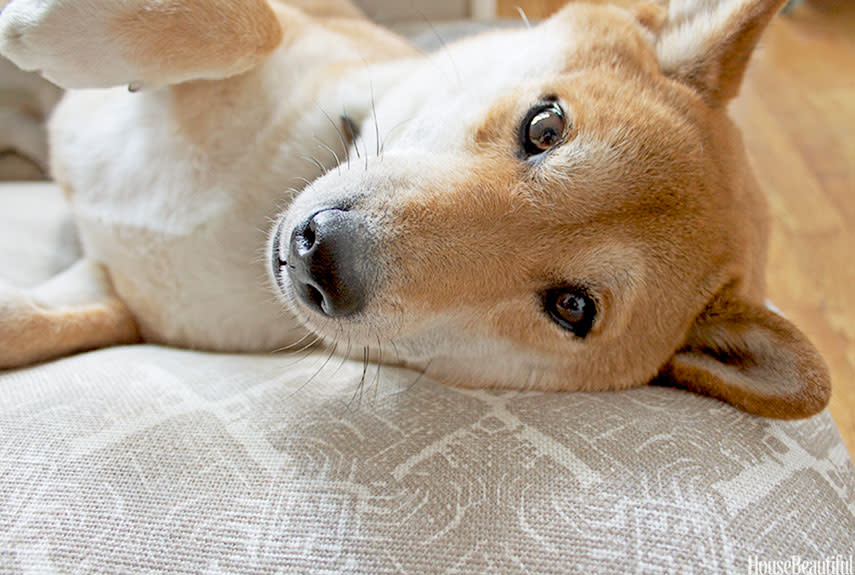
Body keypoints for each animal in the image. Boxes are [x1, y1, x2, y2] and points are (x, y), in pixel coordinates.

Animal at [0, 0, 828, 418]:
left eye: (571, 307)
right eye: (544, 126)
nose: (323, 254)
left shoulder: (118, 298)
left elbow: (28, 324)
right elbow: (247, 22)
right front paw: (46, 28)